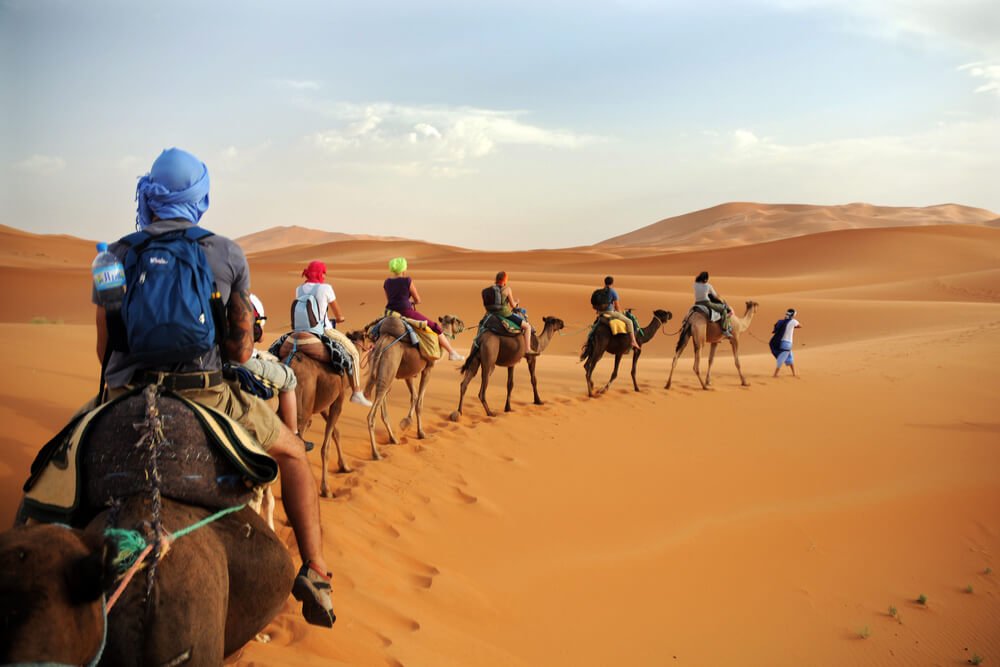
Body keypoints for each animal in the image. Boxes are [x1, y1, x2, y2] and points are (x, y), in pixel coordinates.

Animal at [364, 314, 464, 460]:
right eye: (457, 320)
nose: (463, 324)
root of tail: (382, 342)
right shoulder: (428, 368)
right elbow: (420, 401)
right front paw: (421, 433)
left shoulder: (409, 374)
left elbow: (414, 396)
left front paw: (406, 422)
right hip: (389, 367)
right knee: (372, 413)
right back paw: (376, 454)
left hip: (383, 372)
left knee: (382, 399)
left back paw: (393, 439)